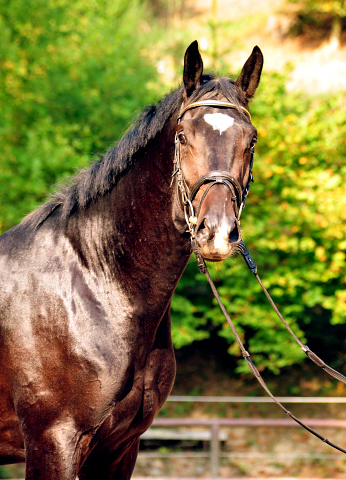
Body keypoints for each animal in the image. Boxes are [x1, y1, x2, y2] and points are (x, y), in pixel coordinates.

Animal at [0, 42, 262, 480]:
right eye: (182, 137)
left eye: (252, 141)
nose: (217, 232)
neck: (93, 285)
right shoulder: (51, 443)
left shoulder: (119, 448)